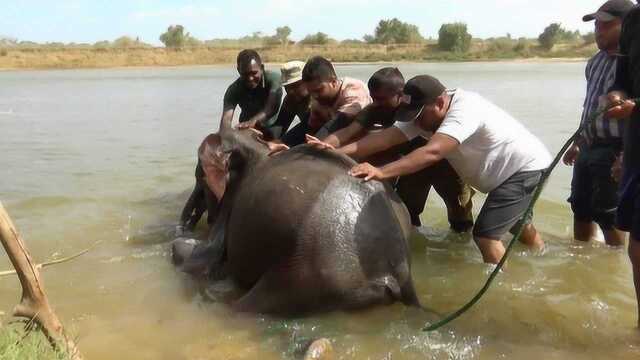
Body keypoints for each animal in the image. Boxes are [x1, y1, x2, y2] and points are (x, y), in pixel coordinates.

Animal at [174, 129, 420, 316]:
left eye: (200, 176)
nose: (184, 227)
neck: (255, 148)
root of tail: (397, 275)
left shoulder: (232, 202)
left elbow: (203, 259)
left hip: (310, 276)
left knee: (248, 304)